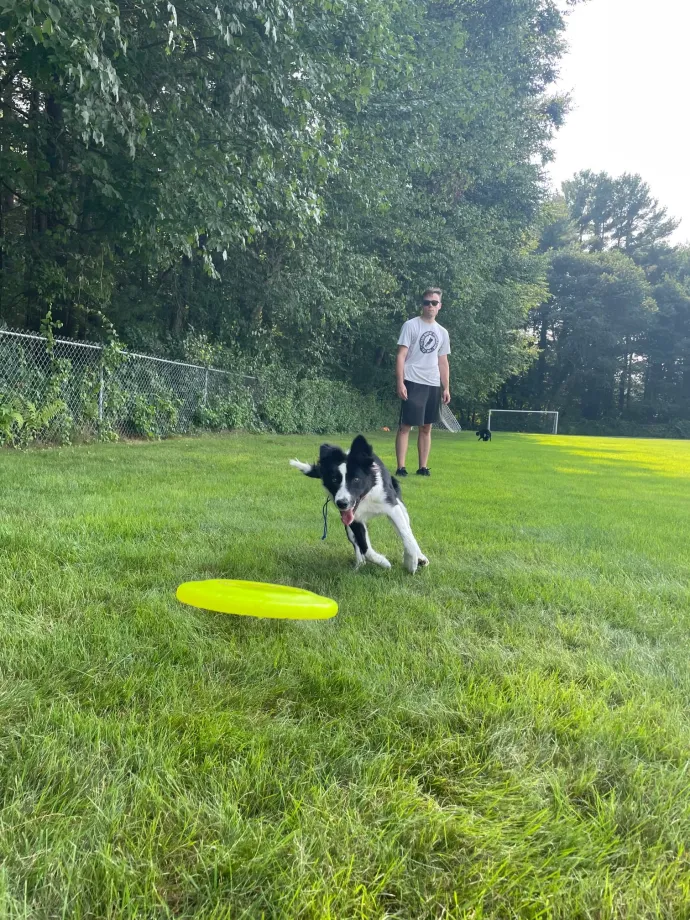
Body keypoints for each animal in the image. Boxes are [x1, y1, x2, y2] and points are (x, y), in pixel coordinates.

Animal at [288, 434, 428, 572]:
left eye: (356, 479)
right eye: (334, 480)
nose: (342, 503)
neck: (366, 497)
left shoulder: (392, 506)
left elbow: (406, 535)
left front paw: (411, 562)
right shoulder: (353, 518)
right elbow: (365, 547)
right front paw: (384, 562)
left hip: (399, 504)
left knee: (408, 529)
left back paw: (420, 557)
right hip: (348, 526)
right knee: (357, 544)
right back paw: (359, 565)